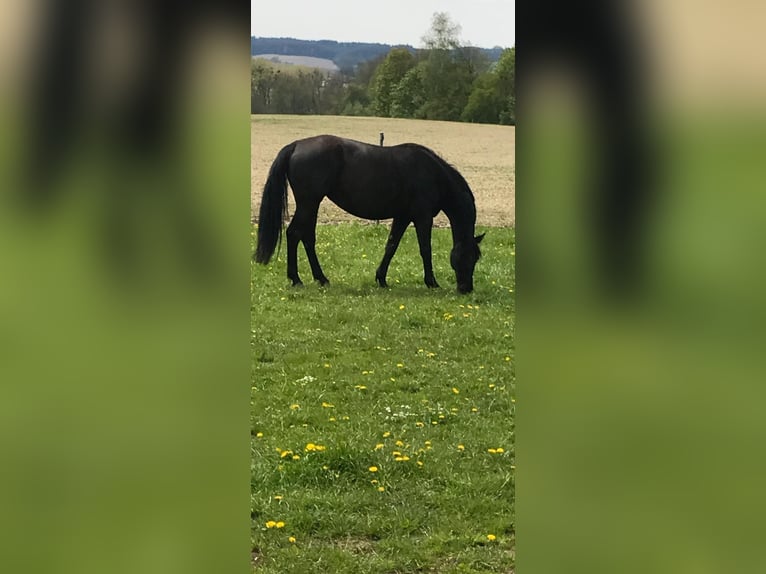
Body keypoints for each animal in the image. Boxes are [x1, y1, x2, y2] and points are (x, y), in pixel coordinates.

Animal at [256, 136, 486, 294]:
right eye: (468, 257)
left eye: (476, 258)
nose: (466, 288)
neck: (433, 174)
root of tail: (296, 145)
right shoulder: (422, 217)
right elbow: (425, 249)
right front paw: (432, 283)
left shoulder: (403, 216)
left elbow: (391, 246)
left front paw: (381, 279)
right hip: (308, 203)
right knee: (295, 234)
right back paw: (296, 279)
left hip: (311, 204)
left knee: (307, 238)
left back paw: (320, 278)